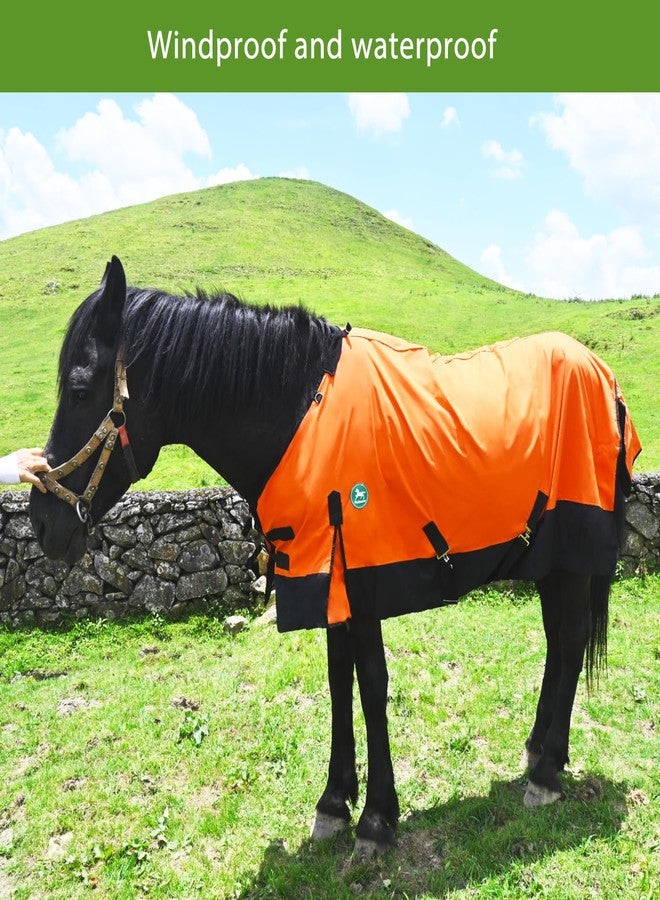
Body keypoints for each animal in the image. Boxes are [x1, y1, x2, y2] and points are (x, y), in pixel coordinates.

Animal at [30, 256, 641, 858]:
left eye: (81, 390)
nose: (41, 522)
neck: (303, 416)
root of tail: (604, 378)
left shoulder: (363, 580)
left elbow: (370, 682)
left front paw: (375, 818)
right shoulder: (329, 580)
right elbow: (337, 679)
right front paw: (334, 801)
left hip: (571, 556)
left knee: (569, 641)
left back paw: (546, 776)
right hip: (549, 563)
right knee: (559, 641)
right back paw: (540, 752)